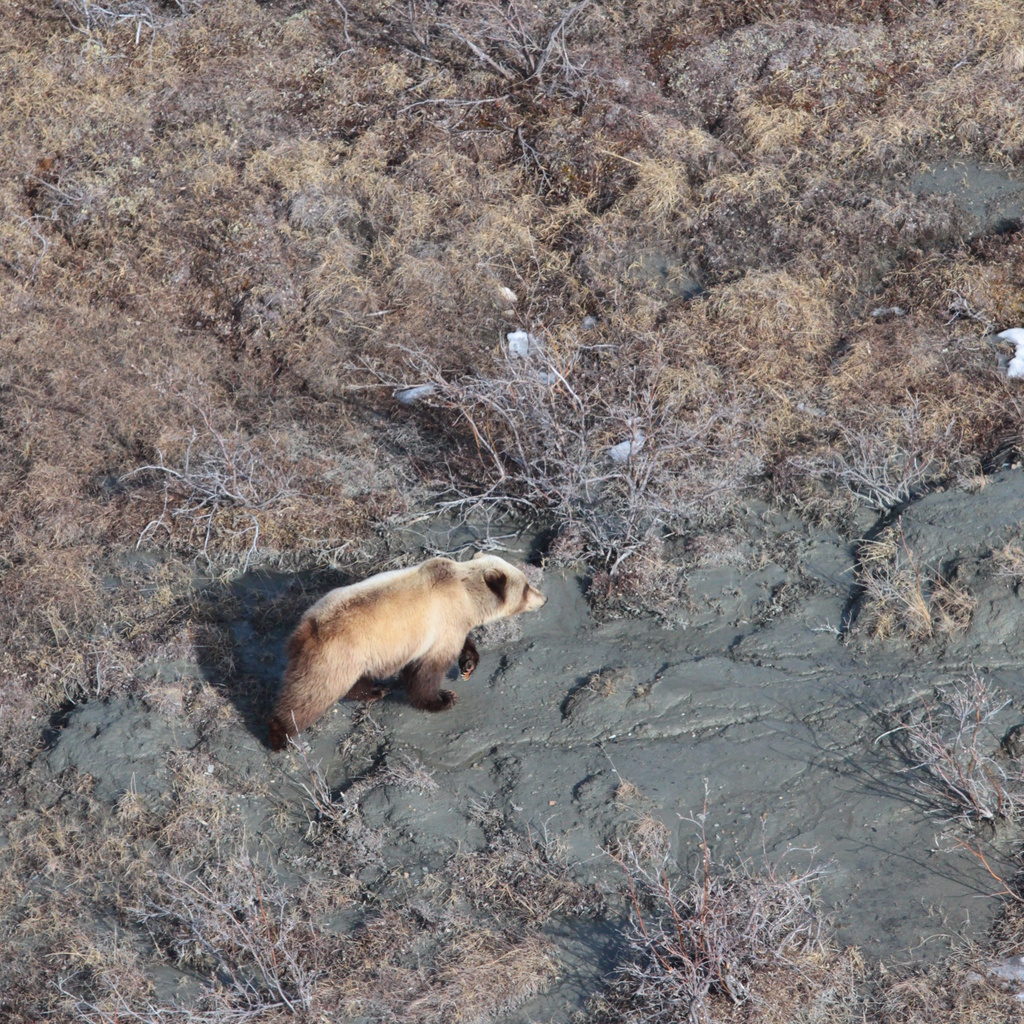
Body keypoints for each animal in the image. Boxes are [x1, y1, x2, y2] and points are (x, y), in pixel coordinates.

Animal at [267, 553, 547, 750]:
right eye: (526, 586)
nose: (544, 598)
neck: (467, 596)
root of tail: (305, 629)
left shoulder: (451, 624)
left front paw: (468, 665)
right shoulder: (440, 622)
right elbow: (425, 672)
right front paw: (443, 698)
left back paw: (375, 690)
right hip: (337, 654)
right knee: (311, 693)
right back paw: (280, 734)